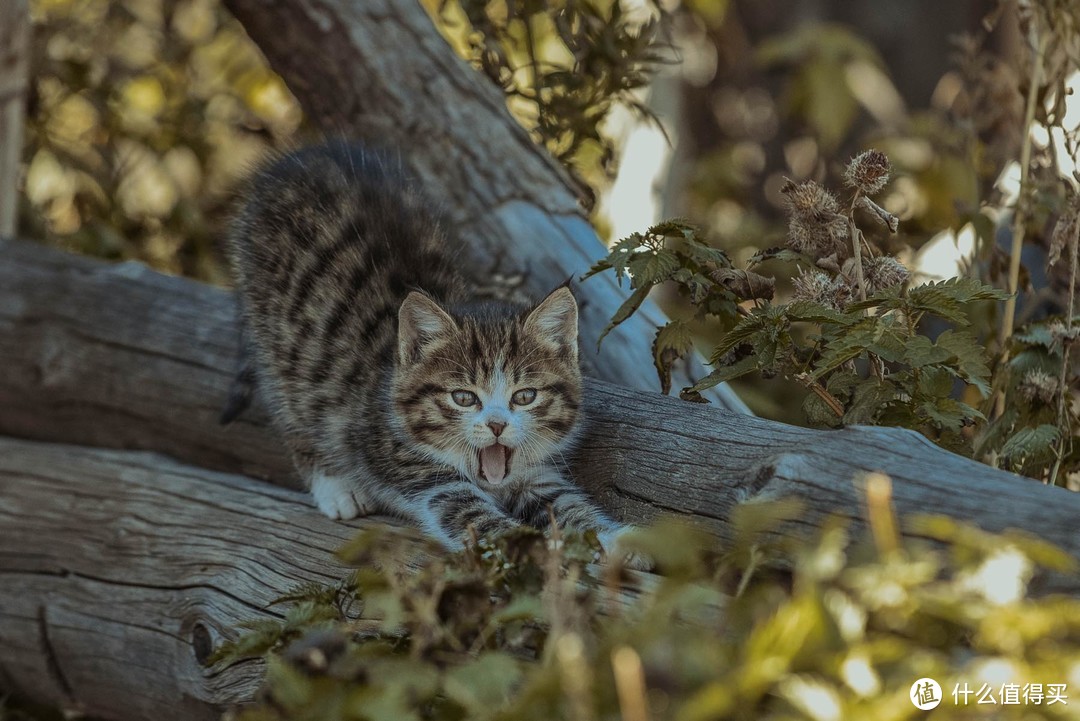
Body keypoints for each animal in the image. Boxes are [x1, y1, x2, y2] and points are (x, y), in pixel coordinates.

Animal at [227, 143, 630, 556]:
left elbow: (562, 503)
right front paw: (527, 550)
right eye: (463, 398)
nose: (497, 425)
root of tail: (307, 155)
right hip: (275, 331)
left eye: (525, 396)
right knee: (292, 400)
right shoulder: (421, 472)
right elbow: (476, 519)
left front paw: (619, 538)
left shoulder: (531, 472)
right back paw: (335, 486)